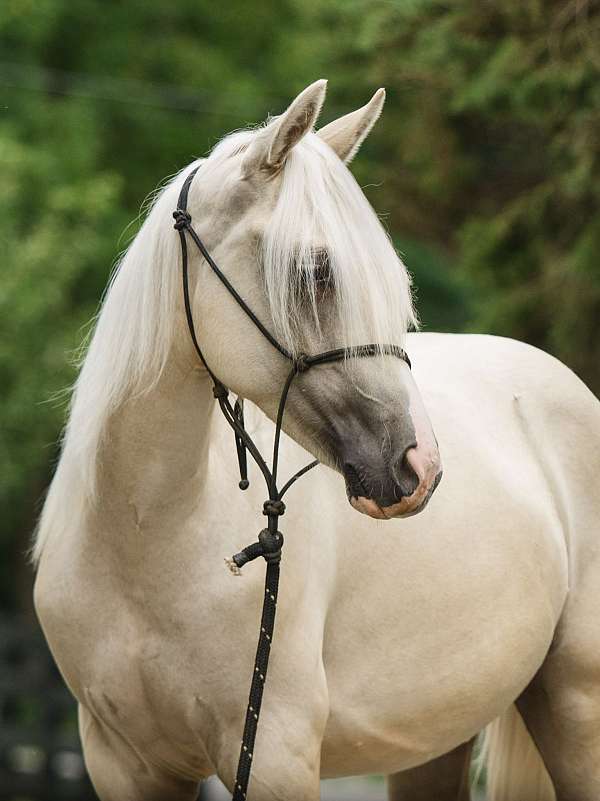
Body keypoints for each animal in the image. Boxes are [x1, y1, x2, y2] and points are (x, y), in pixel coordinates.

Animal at [33, 79, 600, 801]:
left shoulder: (273, 756)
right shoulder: (123, 763)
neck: (145, 540)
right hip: (431, 742)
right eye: (315, 273)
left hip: (577, 711)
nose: (421, 465)